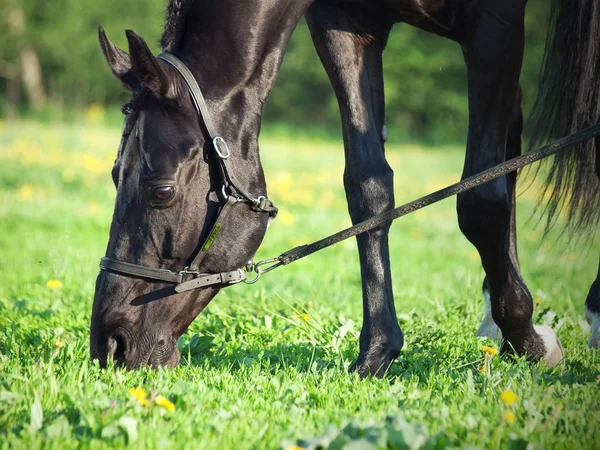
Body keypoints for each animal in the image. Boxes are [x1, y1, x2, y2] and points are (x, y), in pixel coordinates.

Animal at [90, 0, 600, 376]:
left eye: (161, 192)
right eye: (115, 175)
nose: (109, 345)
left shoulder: (497, 21)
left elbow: (480, 200)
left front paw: (529, 340)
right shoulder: (346, 25)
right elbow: (368, 188)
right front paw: (377, 352)